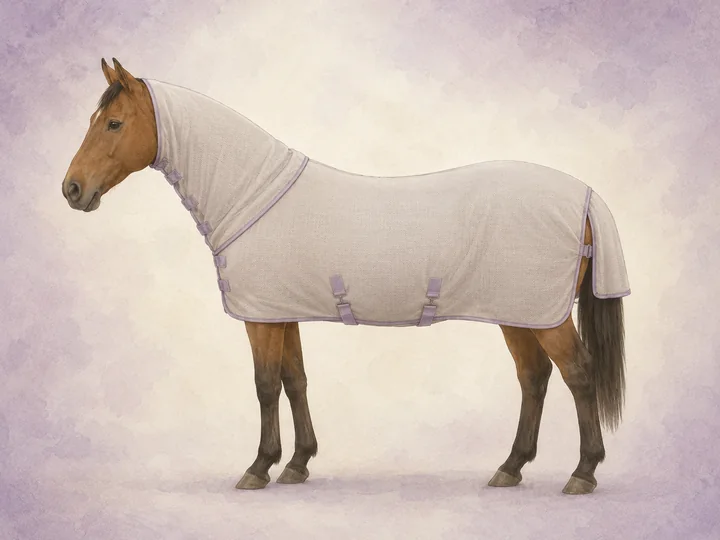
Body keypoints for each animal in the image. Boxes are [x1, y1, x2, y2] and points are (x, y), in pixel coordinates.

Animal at [62, 58, 630, 495]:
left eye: (114, 123)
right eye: (94, 118)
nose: (72, 189)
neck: (251, 192)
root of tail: (584, 194)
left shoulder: (260, 319)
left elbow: (265, 386)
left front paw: (258, 468)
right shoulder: (281, 313)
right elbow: (294, 380)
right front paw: (297, 464)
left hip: (543, 316)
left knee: (579, 375)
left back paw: (582, 474)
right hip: (519, 314)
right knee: (534, 378)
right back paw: (510, 468)